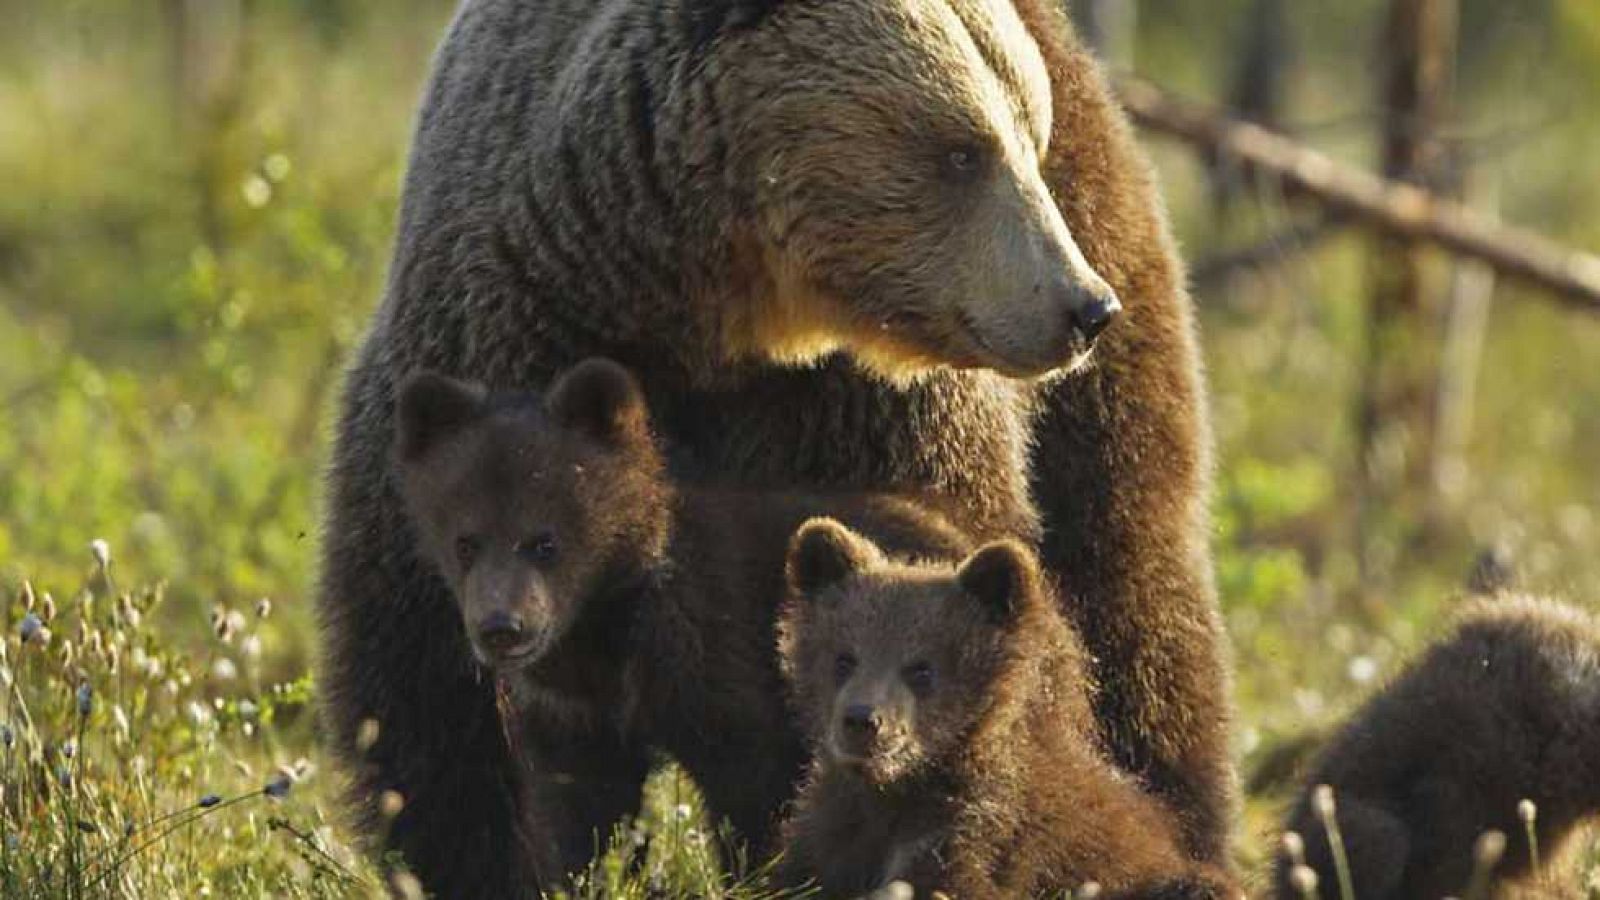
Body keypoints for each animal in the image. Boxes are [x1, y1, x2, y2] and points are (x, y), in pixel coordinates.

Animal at [318, 0, 1228, 883]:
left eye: (1027, 138)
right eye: (963, 151)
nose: (1081, 307)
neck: (707, 306)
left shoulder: (859, 407)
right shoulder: (506, 325)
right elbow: (436, 698)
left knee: (1137, 593)